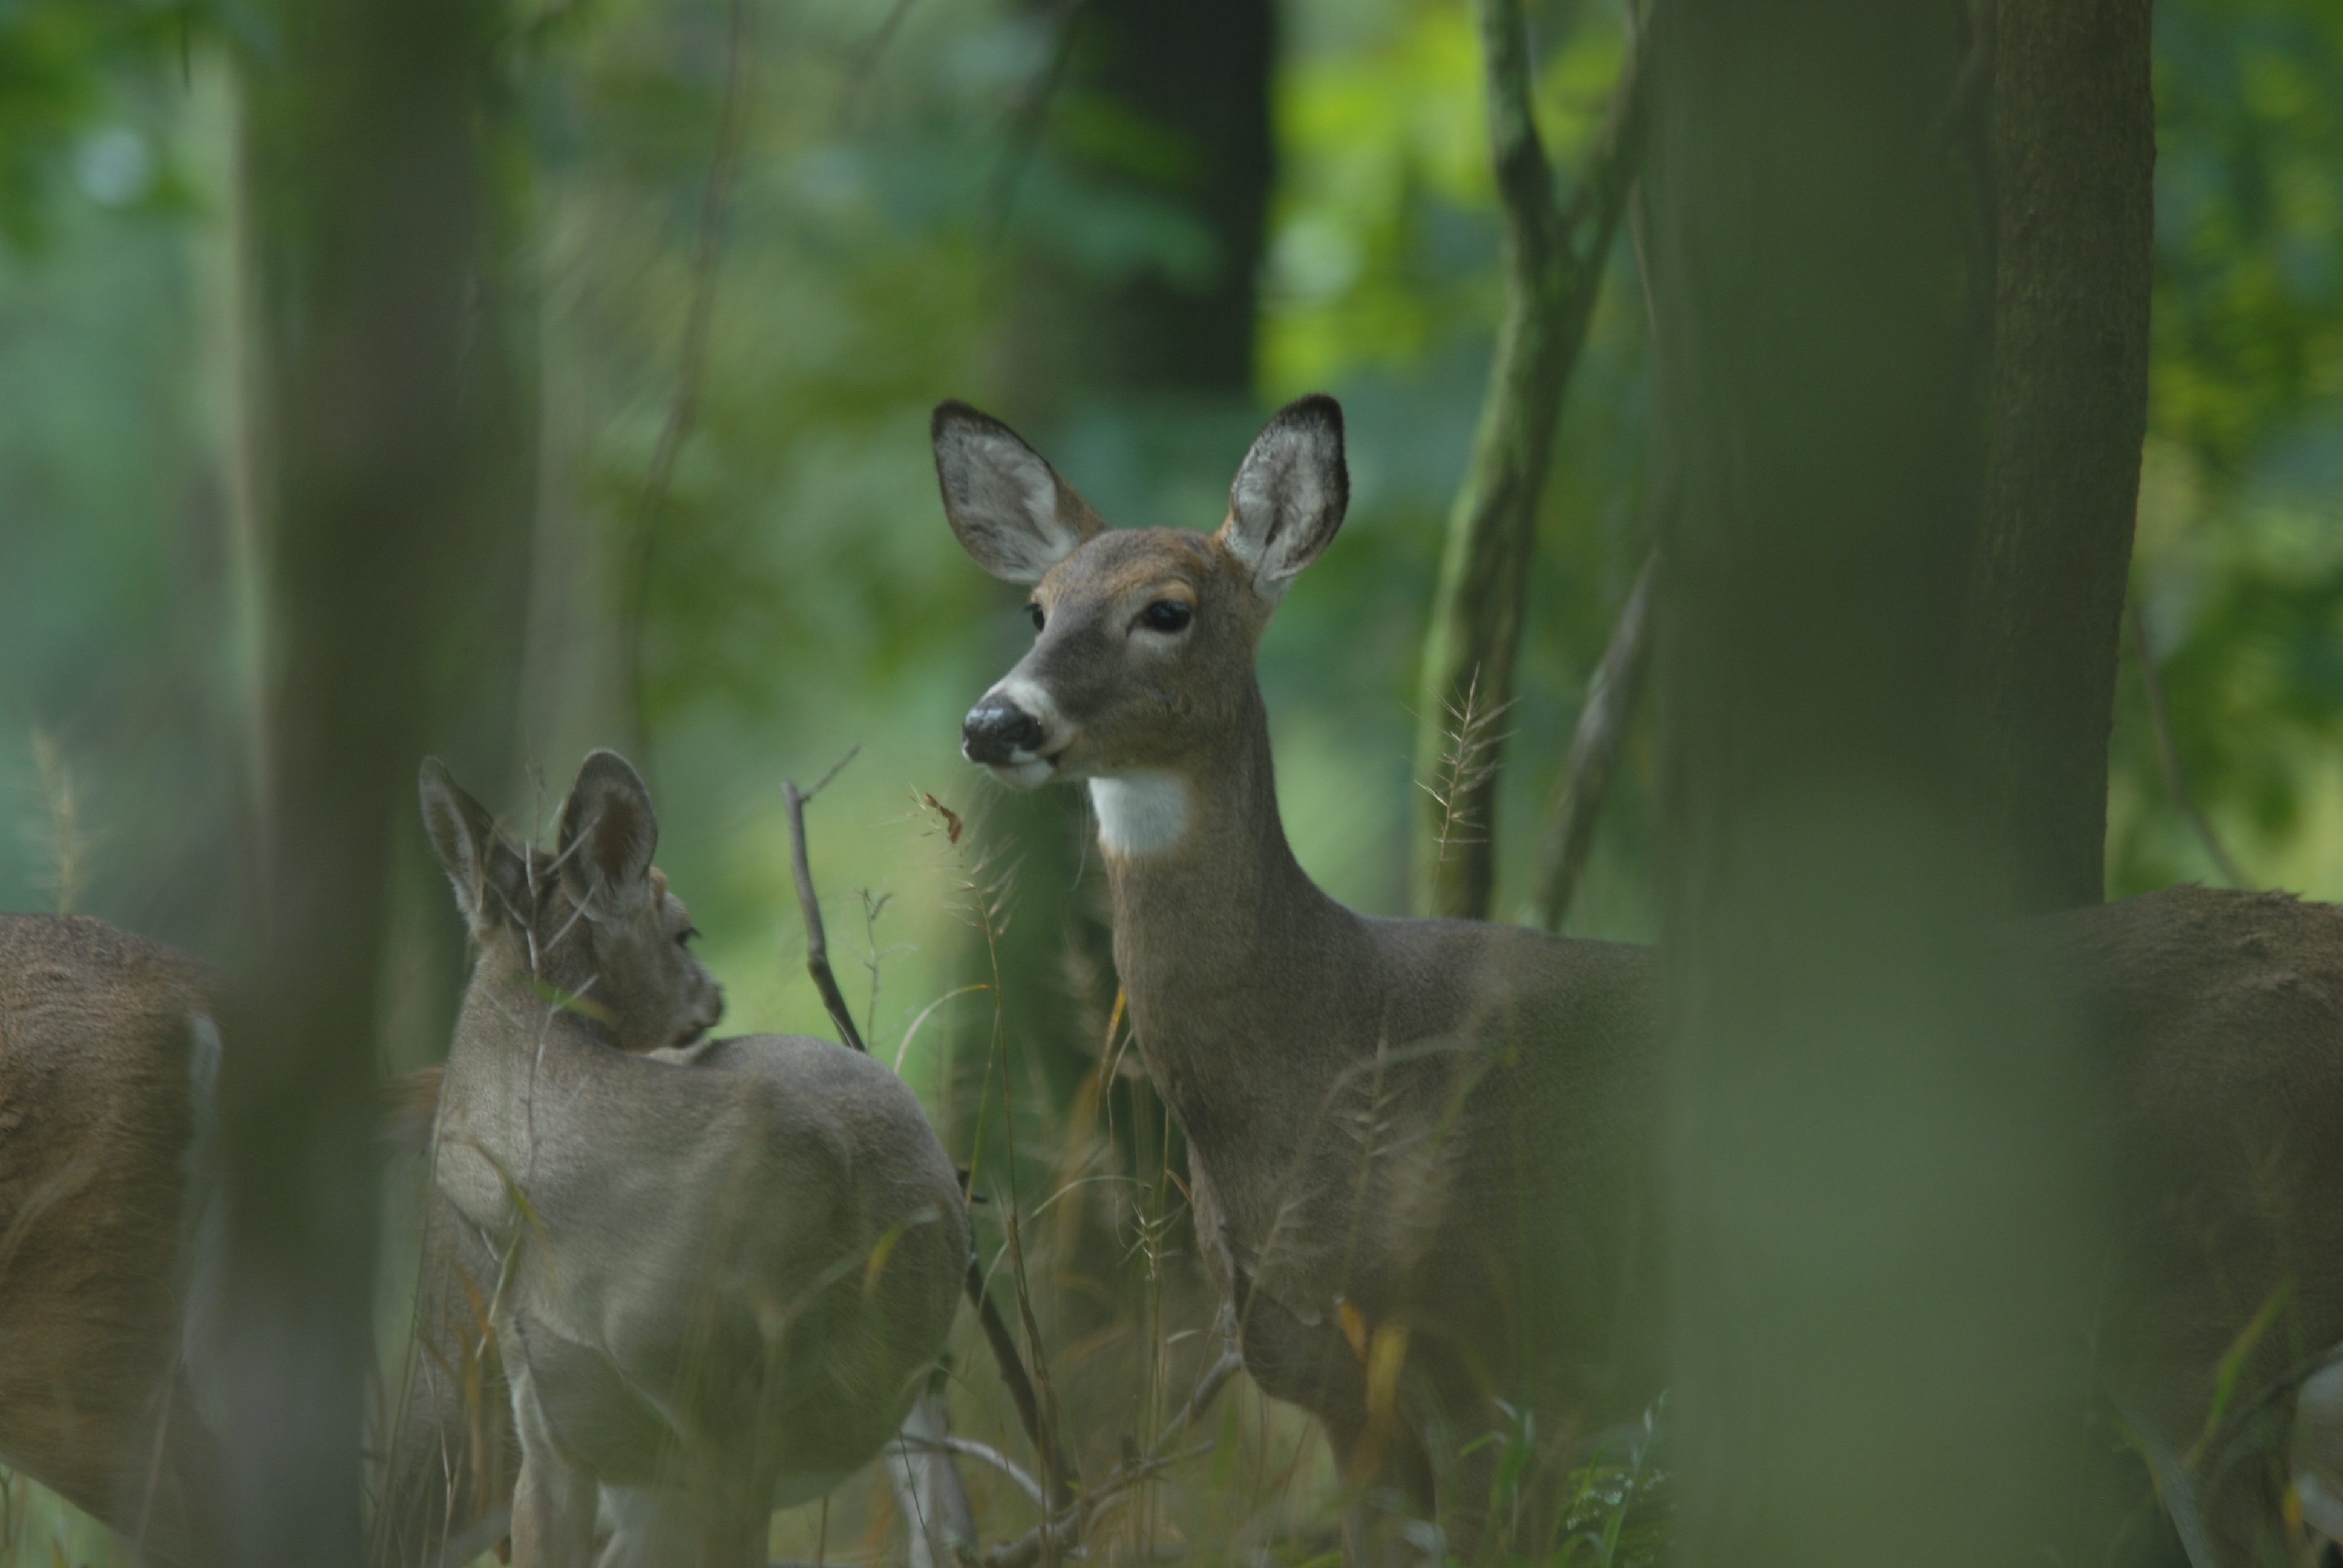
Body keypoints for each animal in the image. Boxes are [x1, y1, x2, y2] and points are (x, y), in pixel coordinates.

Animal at [937, 393, 2343, 1566]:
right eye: (1036, 606)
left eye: (1168, 608)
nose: (994, 721)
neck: (1327, 1063)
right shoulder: (1344, 1399)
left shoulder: (1501, 1353)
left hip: (2205, 1312)